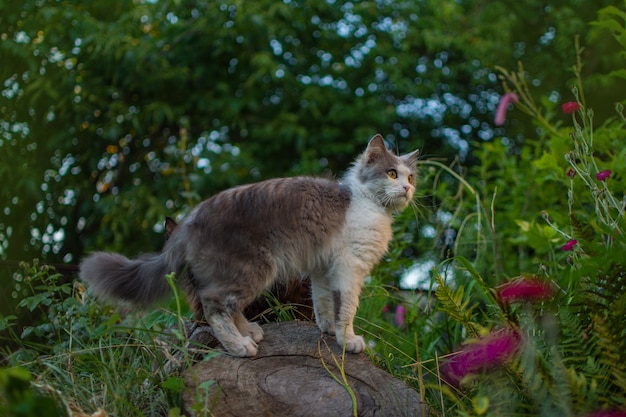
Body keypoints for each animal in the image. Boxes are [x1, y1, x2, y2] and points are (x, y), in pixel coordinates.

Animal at [79, 135, 420, 356]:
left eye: (411, 178)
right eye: (392, 173)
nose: (407, 189)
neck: (365, 201)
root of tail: (190, 221)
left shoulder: (323, 269)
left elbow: (323, 304)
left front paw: (327, 331)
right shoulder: (349, 269)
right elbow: (346, 309)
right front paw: (348, 340)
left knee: (225, 306)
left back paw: (250, 331)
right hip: (254, 268)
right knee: (215, 308)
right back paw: (240, 346)